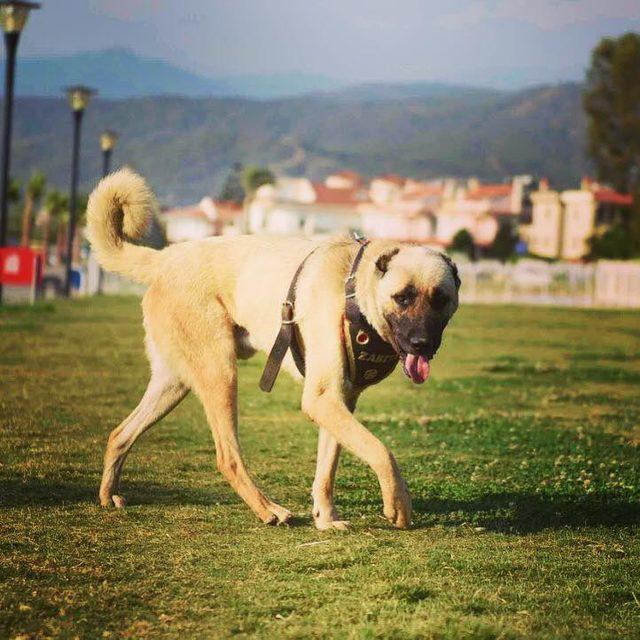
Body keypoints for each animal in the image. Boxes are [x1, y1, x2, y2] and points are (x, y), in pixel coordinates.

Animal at [89, 168, 460, 528]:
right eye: (403, 297)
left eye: (441, 299)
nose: (422, 344)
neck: (354, 287)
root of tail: (167, 257)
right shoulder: (321, 399)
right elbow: (381, 450)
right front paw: (398, 503)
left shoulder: (338, 400)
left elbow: (327, 469)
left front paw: (325, 518)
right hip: (220, 374)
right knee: (227, 457)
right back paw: (268, 509)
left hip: (174, 382)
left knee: (120, 434)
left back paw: (108, 495)